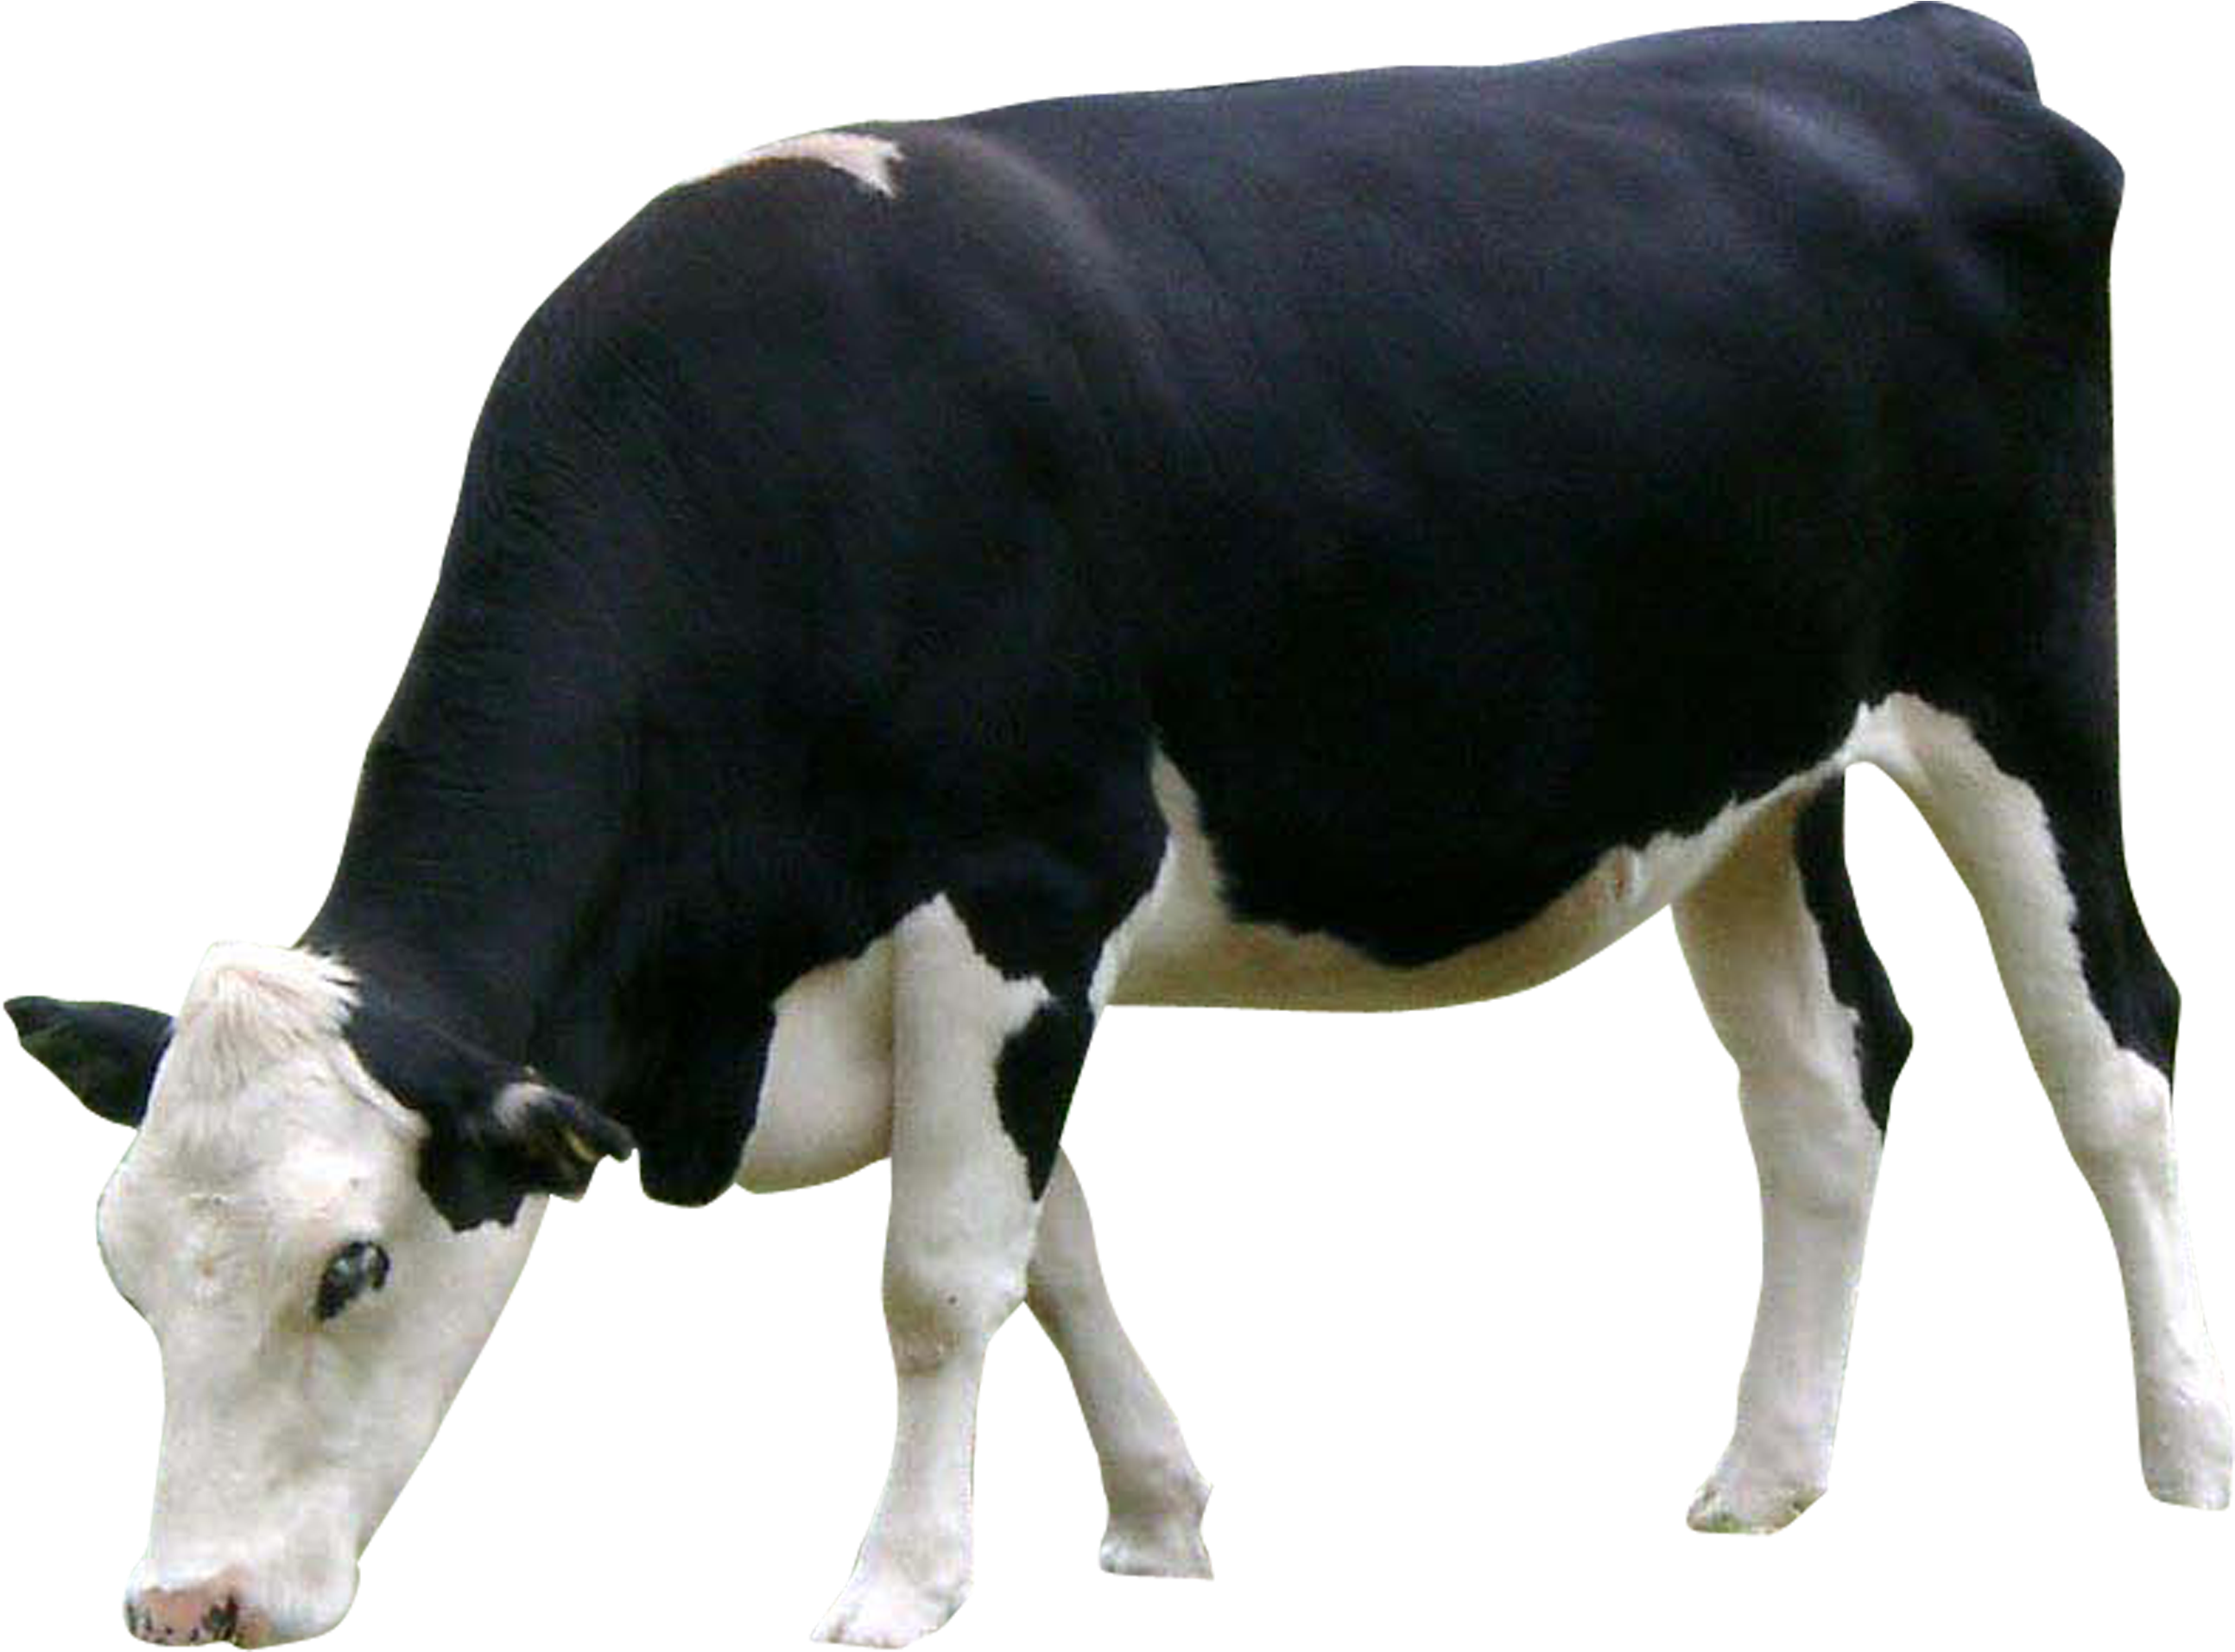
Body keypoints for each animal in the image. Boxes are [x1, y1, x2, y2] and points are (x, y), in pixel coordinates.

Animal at [11, 5, 2228, 1646]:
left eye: (355, 1264)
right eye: (123, 1264)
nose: (184, 1604)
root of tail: (1913, 41)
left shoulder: (1019, 883)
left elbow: (938, 1269)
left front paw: (899, 1587)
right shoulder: (972, 958)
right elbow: (1047, 1238)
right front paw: (1156, 1518)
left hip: (2023, 688)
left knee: (2106, 1047)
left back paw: (2185, 1448)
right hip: (1751, 782)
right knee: (1824, 1078)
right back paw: (1762, 1474)